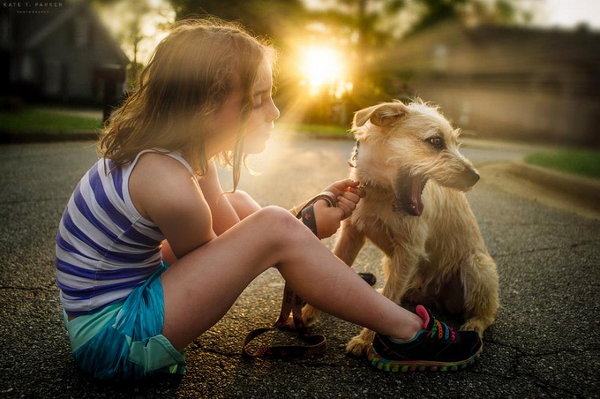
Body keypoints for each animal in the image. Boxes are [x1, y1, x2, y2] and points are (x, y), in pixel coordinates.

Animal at [302, 99, 500, 356]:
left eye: (456, 143)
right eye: (435, 141)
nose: (475, 177)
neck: (380, 192)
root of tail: (435, 296)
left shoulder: (409, 250)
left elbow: (387, 303)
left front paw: (366, 341)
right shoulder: (351, 235)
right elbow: (338, 266)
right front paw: (307, 313)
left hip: (477, 266)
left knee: (486, 313)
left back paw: (475, 324)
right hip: (392, 263)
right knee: (397, 290)